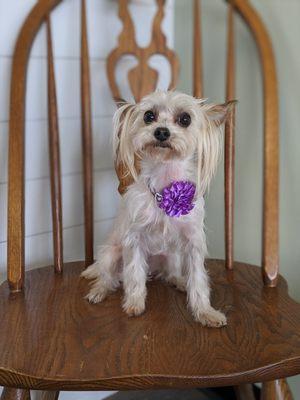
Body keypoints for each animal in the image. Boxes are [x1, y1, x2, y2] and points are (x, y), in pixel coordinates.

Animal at [81, 90, 234, 328]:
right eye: (148, 116)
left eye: (185, 119)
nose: (161, 131)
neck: (166, 187)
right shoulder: (134, 240)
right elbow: (134, 275)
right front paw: (134, 304)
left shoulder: (193, 242)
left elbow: (198, 281)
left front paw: (205, 312)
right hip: (110, 255)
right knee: (108, 277)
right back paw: (99, 291)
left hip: (172, 256)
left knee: (169, 274)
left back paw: (180, 282)